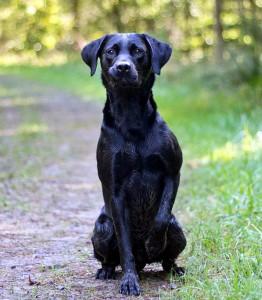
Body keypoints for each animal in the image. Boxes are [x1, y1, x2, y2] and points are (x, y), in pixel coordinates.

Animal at [82, 34, 186, 296]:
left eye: (138, 51)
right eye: (110, 51)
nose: (122, 67)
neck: (131, 118)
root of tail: (143, 263)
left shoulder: (173, 172)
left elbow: (161, 218)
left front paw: (154, 242)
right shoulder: (114, 189)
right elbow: (124, 243)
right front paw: (129, 281)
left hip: (178, 229)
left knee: (167, 258)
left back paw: (174, 268)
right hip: (101, 228)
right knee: (110, 258)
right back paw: (107, 271)